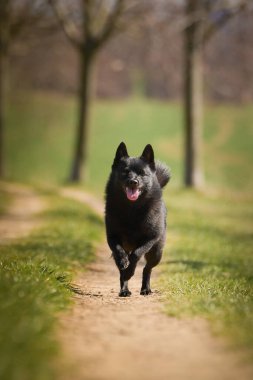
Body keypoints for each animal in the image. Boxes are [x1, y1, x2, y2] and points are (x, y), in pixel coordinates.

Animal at [105, 142, 170, 296]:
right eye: (125, 172)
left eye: (142, 173)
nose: (133, 182)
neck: (132, 209)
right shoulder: (112, 237)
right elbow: (120, 252)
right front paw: (124, 264)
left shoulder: (150, 238)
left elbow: (136, 254)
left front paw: (130, 270)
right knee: (122, 271)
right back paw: (124, 289)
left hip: (157, 253)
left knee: (147, 268)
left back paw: (145, 288)